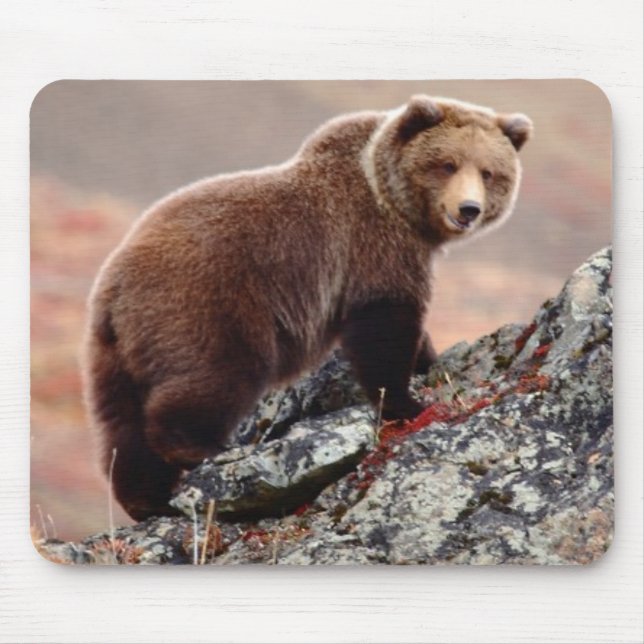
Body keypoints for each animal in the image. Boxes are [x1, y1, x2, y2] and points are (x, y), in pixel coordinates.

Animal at [83, 95, 532, 520]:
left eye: (488, 172)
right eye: (447, 164)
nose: (468, 209)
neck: (395, 203)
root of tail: (114, 286)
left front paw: (427, 362)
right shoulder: (372, 246)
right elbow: (384, 327)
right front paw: (408, 403)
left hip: (116, 352)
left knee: (122, 424)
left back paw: (145, 499)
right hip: (206, 305)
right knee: (216, 374)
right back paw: (198, 450)